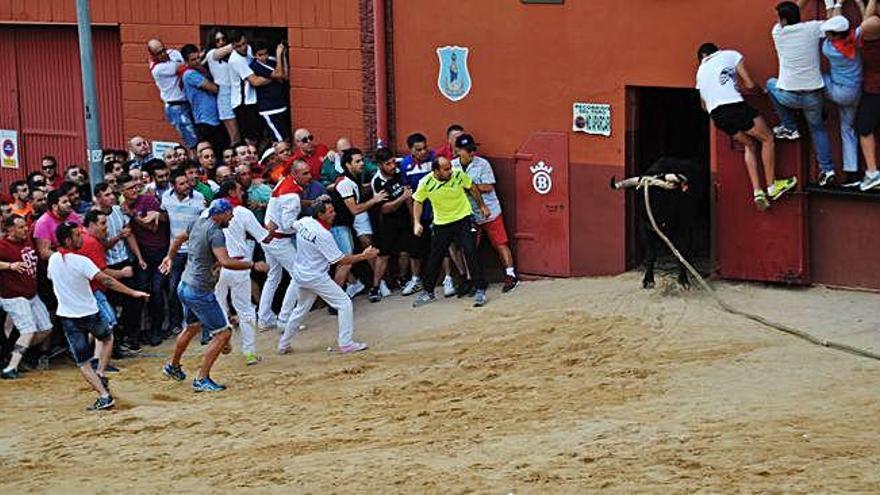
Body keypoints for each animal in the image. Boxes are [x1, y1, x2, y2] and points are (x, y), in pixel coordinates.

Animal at [612, 159, 708, 290]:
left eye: (660, 195)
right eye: (640, 195)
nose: (649, 222)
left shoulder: (683, 227)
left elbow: (682, 251)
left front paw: (683, 280)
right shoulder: (644, 229)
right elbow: (651, 254)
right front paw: (648, 279)